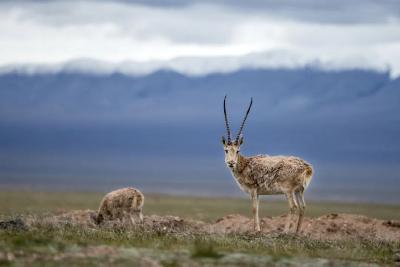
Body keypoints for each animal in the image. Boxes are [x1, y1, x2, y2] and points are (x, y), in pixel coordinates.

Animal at [222, 97, 312, 233]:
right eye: (226, 150)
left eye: (238, 150)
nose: (231, 163)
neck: (245, 164)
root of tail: (306, 167)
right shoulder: (258, 193)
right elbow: (258, 208)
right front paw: (257, 229)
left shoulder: (253, 189)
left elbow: (254, 209)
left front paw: (256, 230)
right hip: (299, 190)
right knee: (303, 206)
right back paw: (296, 232)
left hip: (288, 191)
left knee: (293, 206)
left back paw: (285, 232)